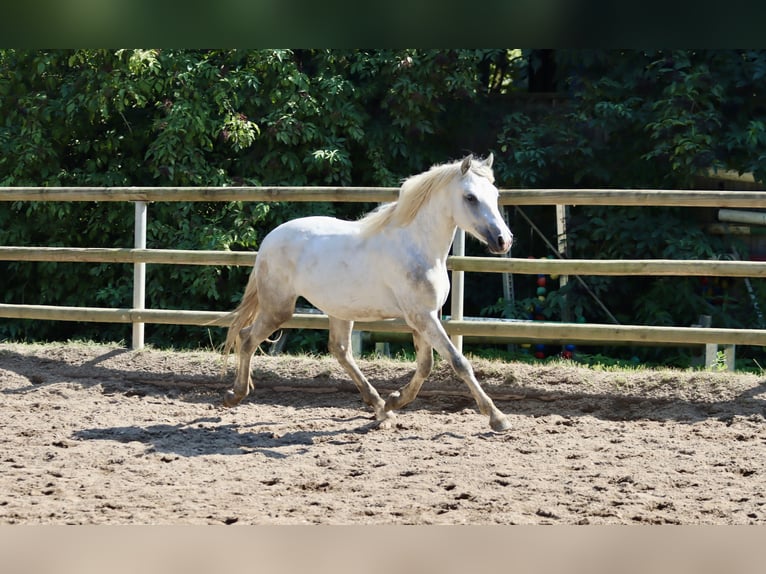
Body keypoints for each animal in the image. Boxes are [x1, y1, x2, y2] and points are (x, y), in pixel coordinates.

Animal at [225, 153, 520, 432]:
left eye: (495, 195)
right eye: (470, 197)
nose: (503, 241)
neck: (417, 247)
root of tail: (268, 240)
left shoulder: (426, 316)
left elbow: (425, 365)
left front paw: (395, 400)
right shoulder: (422, 316)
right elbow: (458, 362)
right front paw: (498, 418)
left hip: (338, 310)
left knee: (340, 350)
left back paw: (381, 408)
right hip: (279, 308)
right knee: (247, 338)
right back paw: (235, 394)